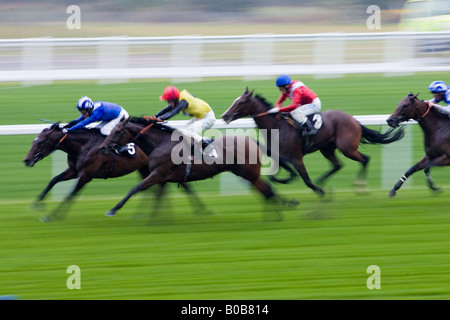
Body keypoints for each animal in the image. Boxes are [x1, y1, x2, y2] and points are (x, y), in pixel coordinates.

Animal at [23, 122, 207, 220]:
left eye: (40, 142)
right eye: (33, 141)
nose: (26, 160)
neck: (83, 146)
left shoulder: (85, 175)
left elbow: (71, 194)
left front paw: (53, 216)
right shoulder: (74, 171)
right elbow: (54, 180)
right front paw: (37, 202)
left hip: (153, 169)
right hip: (146, 169)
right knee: (163, 187)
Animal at [98, 116, 296, 219]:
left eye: (117, 131)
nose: (103, 147)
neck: (160, 143)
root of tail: (252, 141)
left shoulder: (158, 173)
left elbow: (135, 188)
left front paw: (113, 210)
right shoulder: (161, 177)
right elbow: (158, 196)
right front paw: (153, 218)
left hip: (248, 173)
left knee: (267, 191)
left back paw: (275, 216)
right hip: (247, 174)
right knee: (267, 191)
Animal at [220, 89, 406, 196]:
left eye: (241, 102)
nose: (224, 116)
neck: (276, 126)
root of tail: (354, 120)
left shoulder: (296, 157)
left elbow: (306, 179)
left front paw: (319, 192)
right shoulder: (279, 155)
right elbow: (276, 175)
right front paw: (286, 179)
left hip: (347, 148)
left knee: (364, 159)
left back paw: (360, 188)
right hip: (327, 148)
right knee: (337, 165)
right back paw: (323, 180)